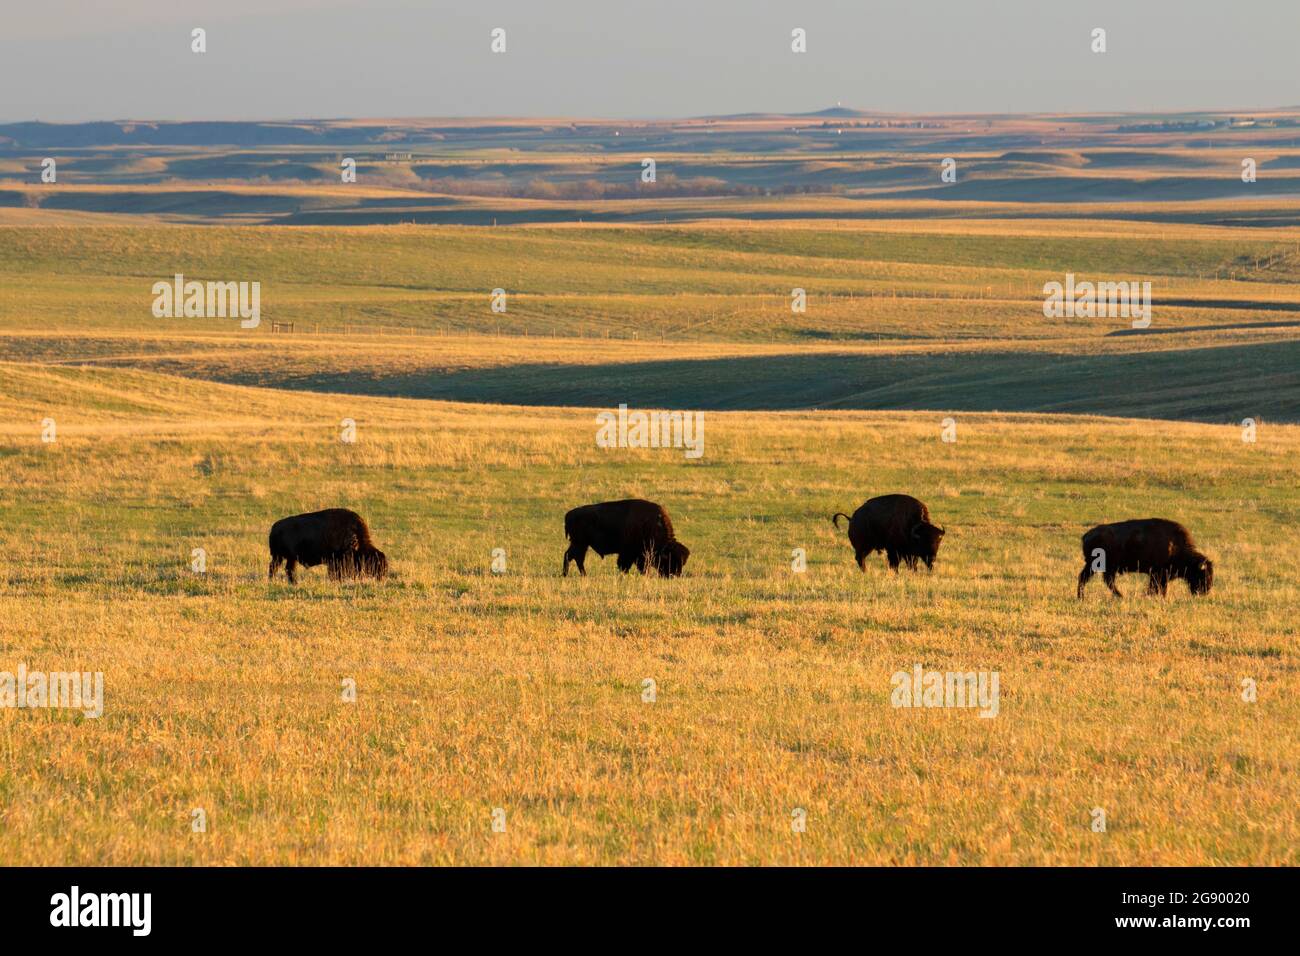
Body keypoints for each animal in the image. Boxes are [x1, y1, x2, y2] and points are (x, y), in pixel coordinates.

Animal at [1077, 518, 1213, 598]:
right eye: (1204, 574)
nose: (1206, 591)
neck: (1176, 546)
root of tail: (1086, 535)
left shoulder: (1159, 575)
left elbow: (1158, 587)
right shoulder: (1158, 574)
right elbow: (1157, 587)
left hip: (1095, 567)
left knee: (1088, 578)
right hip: (1101, 566)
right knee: (1103, 580)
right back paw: (1120, 596)